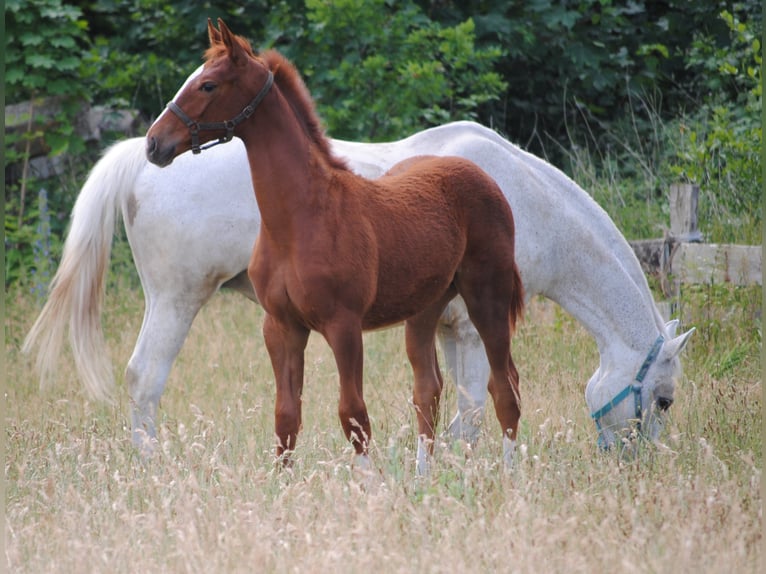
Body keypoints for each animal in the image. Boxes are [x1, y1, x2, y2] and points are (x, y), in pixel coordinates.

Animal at [143, 21, 524, 472]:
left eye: (207, 85)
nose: (154, 144)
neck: (299, 221)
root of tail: (484, 179)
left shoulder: (344, 326)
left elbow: (353, 414)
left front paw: (369, 484)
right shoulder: (281, 326)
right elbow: (286, 416)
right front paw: (282, 483)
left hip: (487, 296)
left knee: (505, 386)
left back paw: (509, 475)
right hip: (425, 307)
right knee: (427, 389)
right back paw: (422, 478)